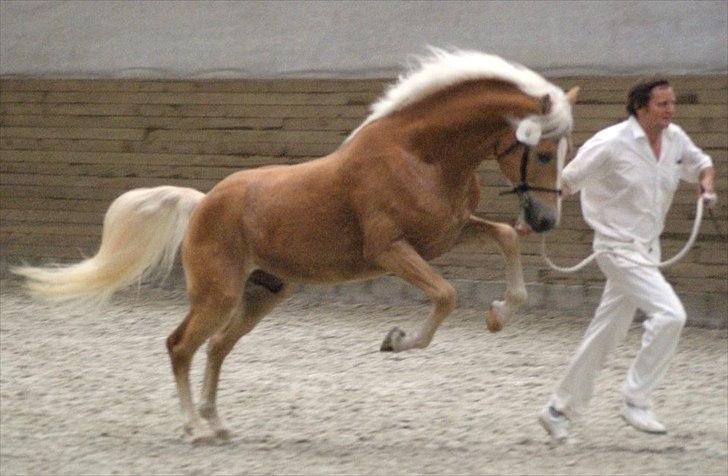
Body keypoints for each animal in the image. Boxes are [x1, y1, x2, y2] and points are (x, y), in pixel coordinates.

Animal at [11, 48, 576, 442]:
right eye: (546, 153)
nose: (546, 220)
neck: (421, 155)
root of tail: (203, 202)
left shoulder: (449, 232)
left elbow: (504, 238)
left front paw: (500, 314)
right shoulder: (391, 250)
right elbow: (446, 295)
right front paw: (395, 341)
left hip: (264, 292)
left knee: (216, 347)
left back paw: (217, 426)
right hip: (217, 293)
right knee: (180, 346)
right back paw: (194, 428)